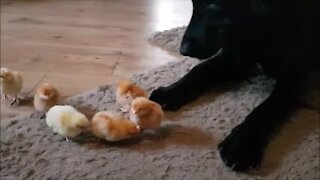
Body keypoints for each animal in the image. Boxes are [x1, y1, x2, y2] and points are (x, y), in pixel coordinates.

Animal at [149, 0, 318, 172]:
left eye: (213, 5)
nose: (183, 50)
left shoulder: (293, 77)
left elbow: (267, 108)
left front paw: (241, 144)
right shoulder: (235, 56)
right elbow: (200, 69)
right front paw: (170, 91)